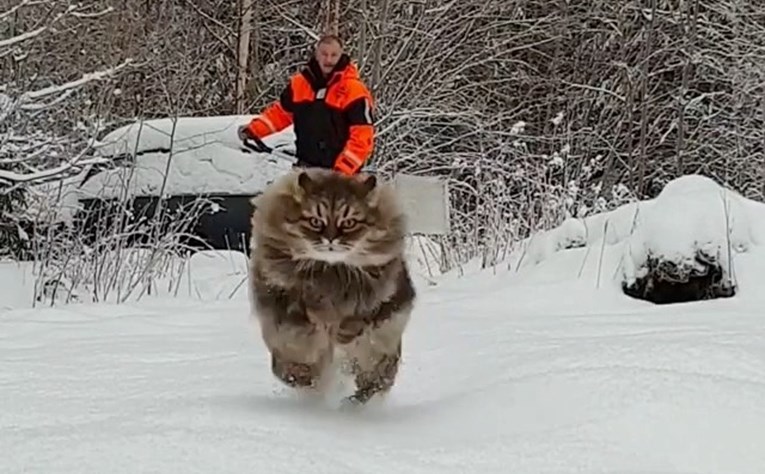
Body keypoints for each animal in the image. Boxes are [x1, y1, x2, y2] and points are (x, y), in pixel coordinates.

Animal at [248, 168, 416, 404]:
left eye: (349, 223)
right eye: (315, 221)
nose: (330, 240)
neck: (329, 272)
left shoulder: (381, 303)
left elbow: (360, 320)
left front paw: (343, 333)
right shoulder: (282, 309)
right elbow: (298, 335)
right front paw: (300, 373)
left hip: (378, 351)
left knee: (375, 379)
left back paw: (356, 401)